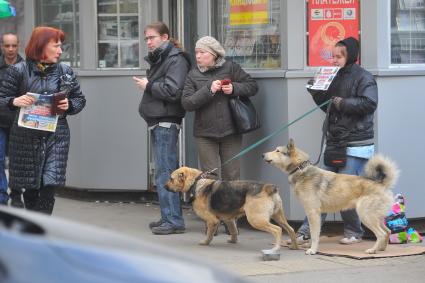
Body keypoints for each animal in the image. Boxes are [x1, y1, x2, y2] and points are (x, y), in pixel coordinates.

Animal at [164, 166, 296, 255]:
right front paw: (233, 241)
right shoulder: (229, 219)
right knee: (291, 229)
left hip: (256, 220)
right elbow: (233, 231)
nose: (164, 187)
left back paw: (275, 249)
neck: (196, 182)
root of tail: (268, 187)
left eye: (171, 179)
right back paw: (295, 246)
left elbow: (209, 235)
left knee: (277, 230)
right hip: (278, 216)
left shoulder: (212, 221)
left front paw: (205, 242)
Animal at [262, 139, 398, 255]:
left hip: (366, 216)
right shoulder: (314, 213)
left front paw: (313, 250)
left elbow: (315, 234)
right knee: (387, 231)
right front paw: (310, 246)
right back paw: (381, 249)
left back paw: (373, 250)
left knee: (381, 234)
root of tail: (382, 184)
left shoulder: (312, 212)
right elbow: (314, 232)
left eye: (278, 151)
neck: (300, 169)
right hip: (375, 217)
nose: (263, 155)